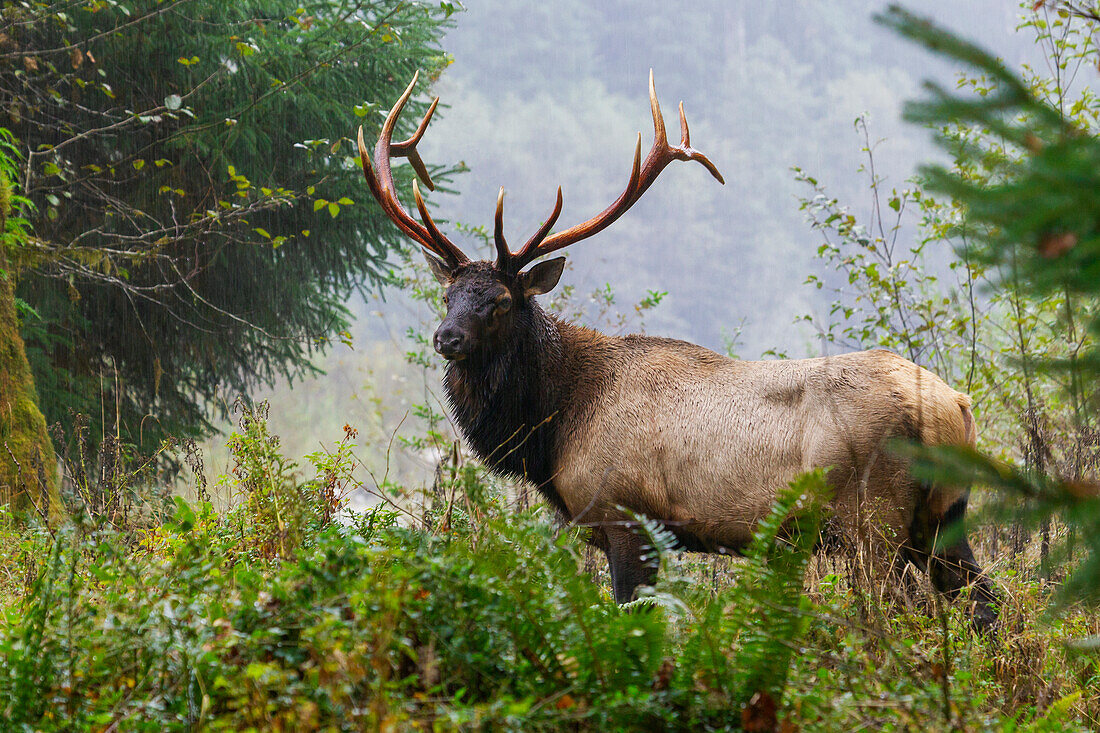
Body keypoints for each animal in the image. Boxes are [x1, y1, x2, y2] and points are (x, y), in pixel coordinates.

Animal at [358, 69, 998, 629]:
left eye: (499, 302)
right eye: (448, 295)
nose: (447, 338)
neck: (555, 426)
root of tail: (956, 407)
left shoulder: (627, 516)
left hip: (875, 521)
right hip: (944, 518)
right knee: (987, 605)